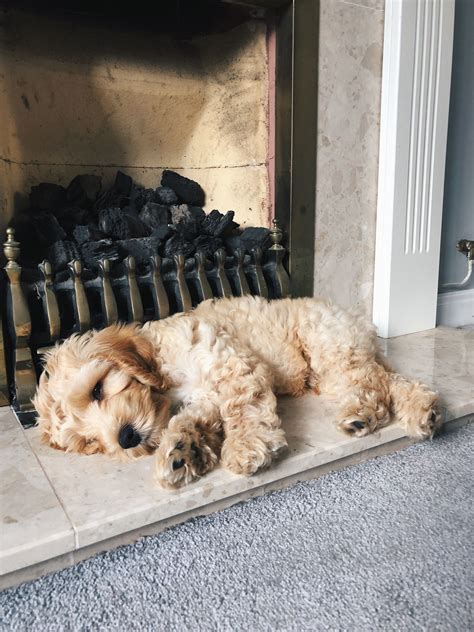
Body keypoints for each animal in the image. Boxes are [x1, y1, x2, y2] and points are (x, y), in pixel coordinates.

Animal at [34, 296, 440, 488]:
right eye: (90, 443)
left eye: (97, 389)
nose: (125, 438)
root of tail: (360, 324)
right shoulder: (203, 399)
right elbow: (194, 422)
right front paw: (182, 451)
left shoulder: (231, 365)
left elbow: (243, 411)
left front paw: (245, 449)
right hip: (334, 369)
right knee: (392, 381)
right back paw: (424, 410)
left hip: (329, 346)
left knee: (373, 383)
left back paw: (362, 414)